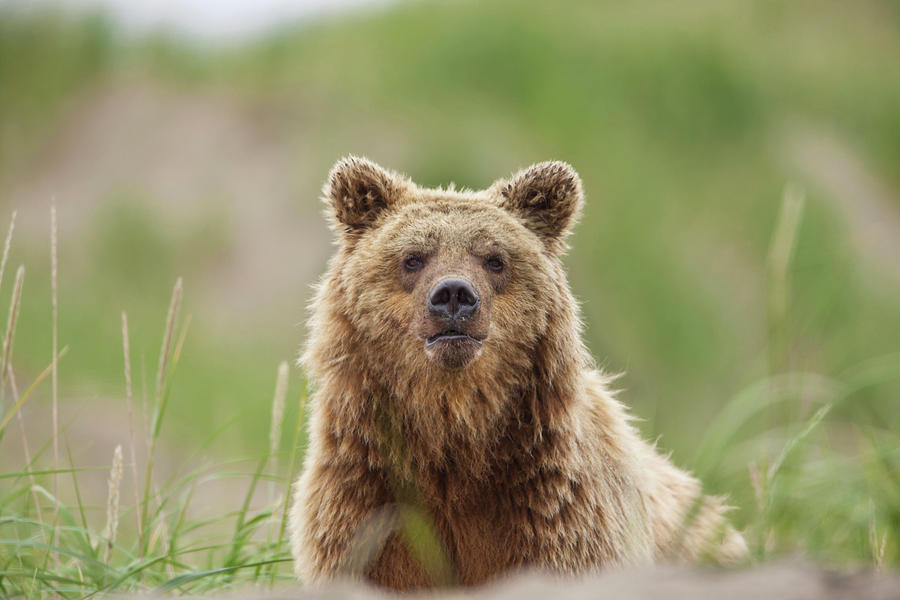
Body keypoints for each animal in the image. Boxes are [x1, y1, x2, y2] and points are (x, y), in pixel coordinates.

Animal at [288, 156, 744, 592]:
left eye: (494, 260)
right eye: (413, 258)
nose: (453, 295)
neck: (452, 434)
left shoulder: (555, 510)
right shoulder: (368, 506)